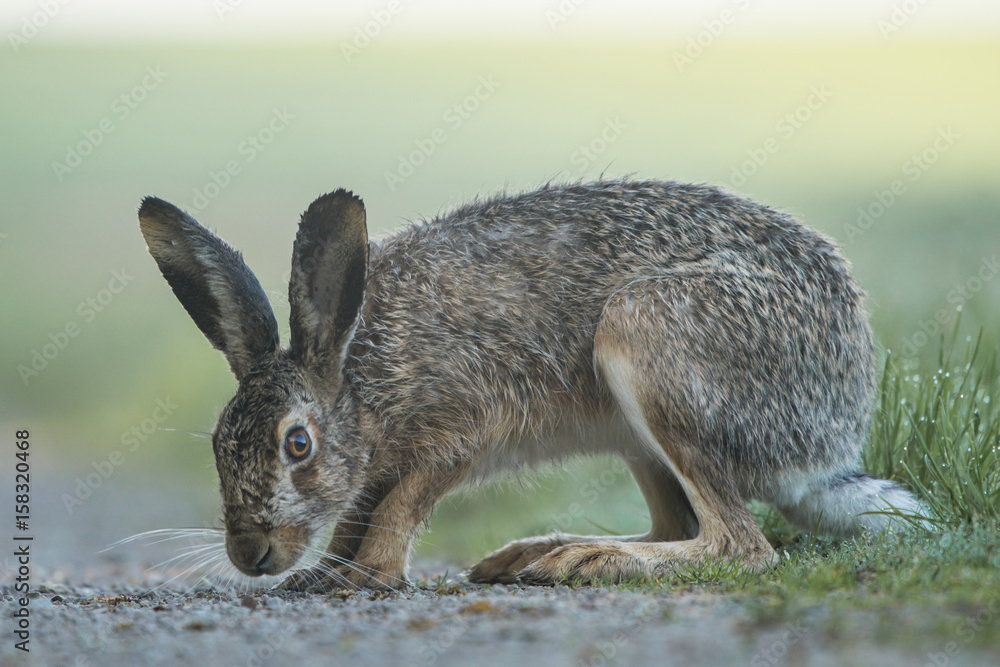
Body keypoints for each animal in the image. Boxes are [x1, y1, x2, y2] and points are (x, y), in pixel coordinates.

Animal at [137, 178, 923, 590]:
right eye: (217, 442)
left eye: (296, 444)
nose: (251, 555)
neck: (357, 375)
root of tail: (830, 439)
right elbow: (360, 507)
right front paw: (321, 575)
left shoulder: (461, 425)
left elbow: (399, 505)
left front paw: (369, 576)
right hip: (637, 429)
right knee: (680, 522)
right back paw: (543, 553)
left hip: (648, 339)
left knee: (740, 544)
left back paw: (589, 558)